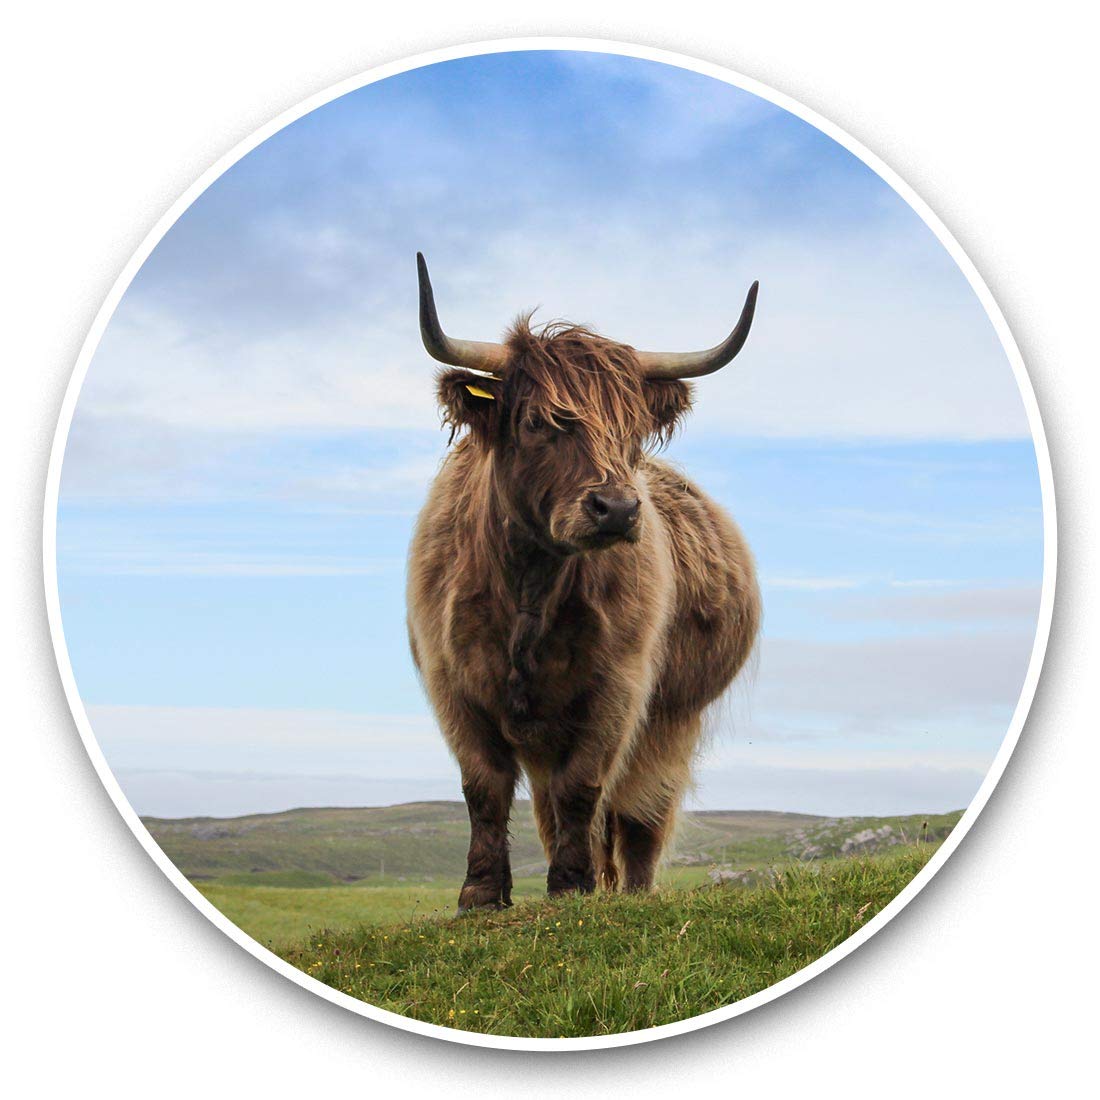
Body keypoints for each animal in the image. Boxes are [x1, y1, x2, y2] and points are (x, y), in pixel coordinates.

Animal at [406, 253, 761, 911]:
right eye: (537, 421)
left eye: (631, 430)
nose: (617, 509)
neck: (529, 585)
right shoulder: (452, 683)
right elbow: (484, 785)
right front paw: (480, 894)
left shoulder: (618, 688)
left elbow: (583, 787)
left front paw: (571, 887)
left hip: (672, 721)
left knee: (640, 816)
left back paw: (630, 891)